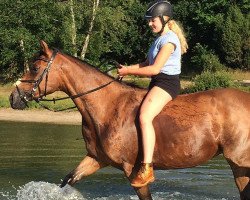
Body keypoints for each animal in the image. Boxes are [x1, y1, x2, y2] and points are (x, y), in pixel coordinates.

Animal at [8, 41, 249, 200]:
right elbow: (68, 180)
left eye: (35, 68)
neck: (107, 106)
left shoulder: (131, 170)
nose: (13, 97)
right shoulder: (96, 158)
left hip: (240, 161)